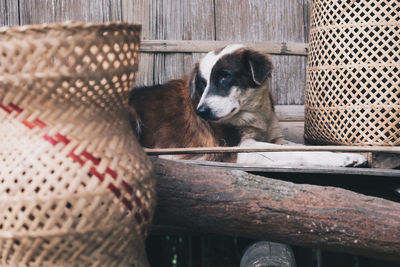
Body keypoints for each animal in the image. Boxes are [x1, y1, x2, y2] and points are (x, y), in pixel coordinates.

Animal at [130, 45, 368, 169]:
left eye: (224, 77)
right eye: (202, 84)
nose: (201, 111)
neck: (254, 113)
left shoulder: (275, 139)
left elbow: (302, 148)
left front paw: (347, 154)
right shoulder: (233, 149)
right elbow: (296, 154)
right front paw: (341, 158)